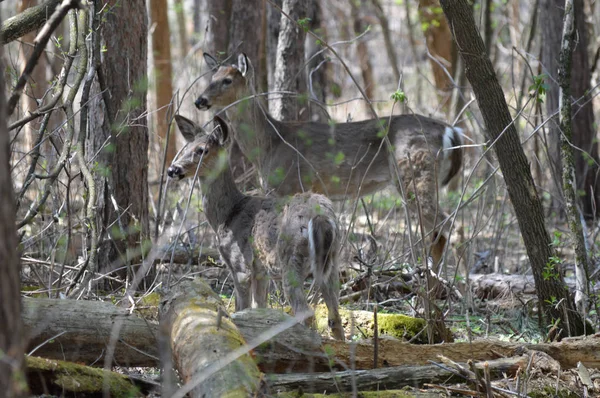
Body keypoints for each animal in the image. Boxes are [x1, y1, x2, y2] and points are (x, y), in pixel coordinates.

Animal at [166, 114, 344, 338]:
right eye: (186, 147)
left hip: (291, 258)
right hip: (334, 260)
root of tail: (321, 216)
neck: (227, 215)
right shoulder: (261, 271)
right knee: (335, 317)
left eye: (202, 150)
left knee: (306, 313)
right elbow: (260, 307)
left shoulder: (240, 264)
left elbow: (240, 309)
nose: (172, 169)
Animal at [197, 53, 464, 270]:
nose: (200, 100)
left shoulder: (286, 185)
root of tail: (451, 130)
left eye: (227, 80)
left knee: (446, 225)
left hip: (413, 172)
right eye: (211, 77)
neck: (270, 144)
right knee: (445, 228)